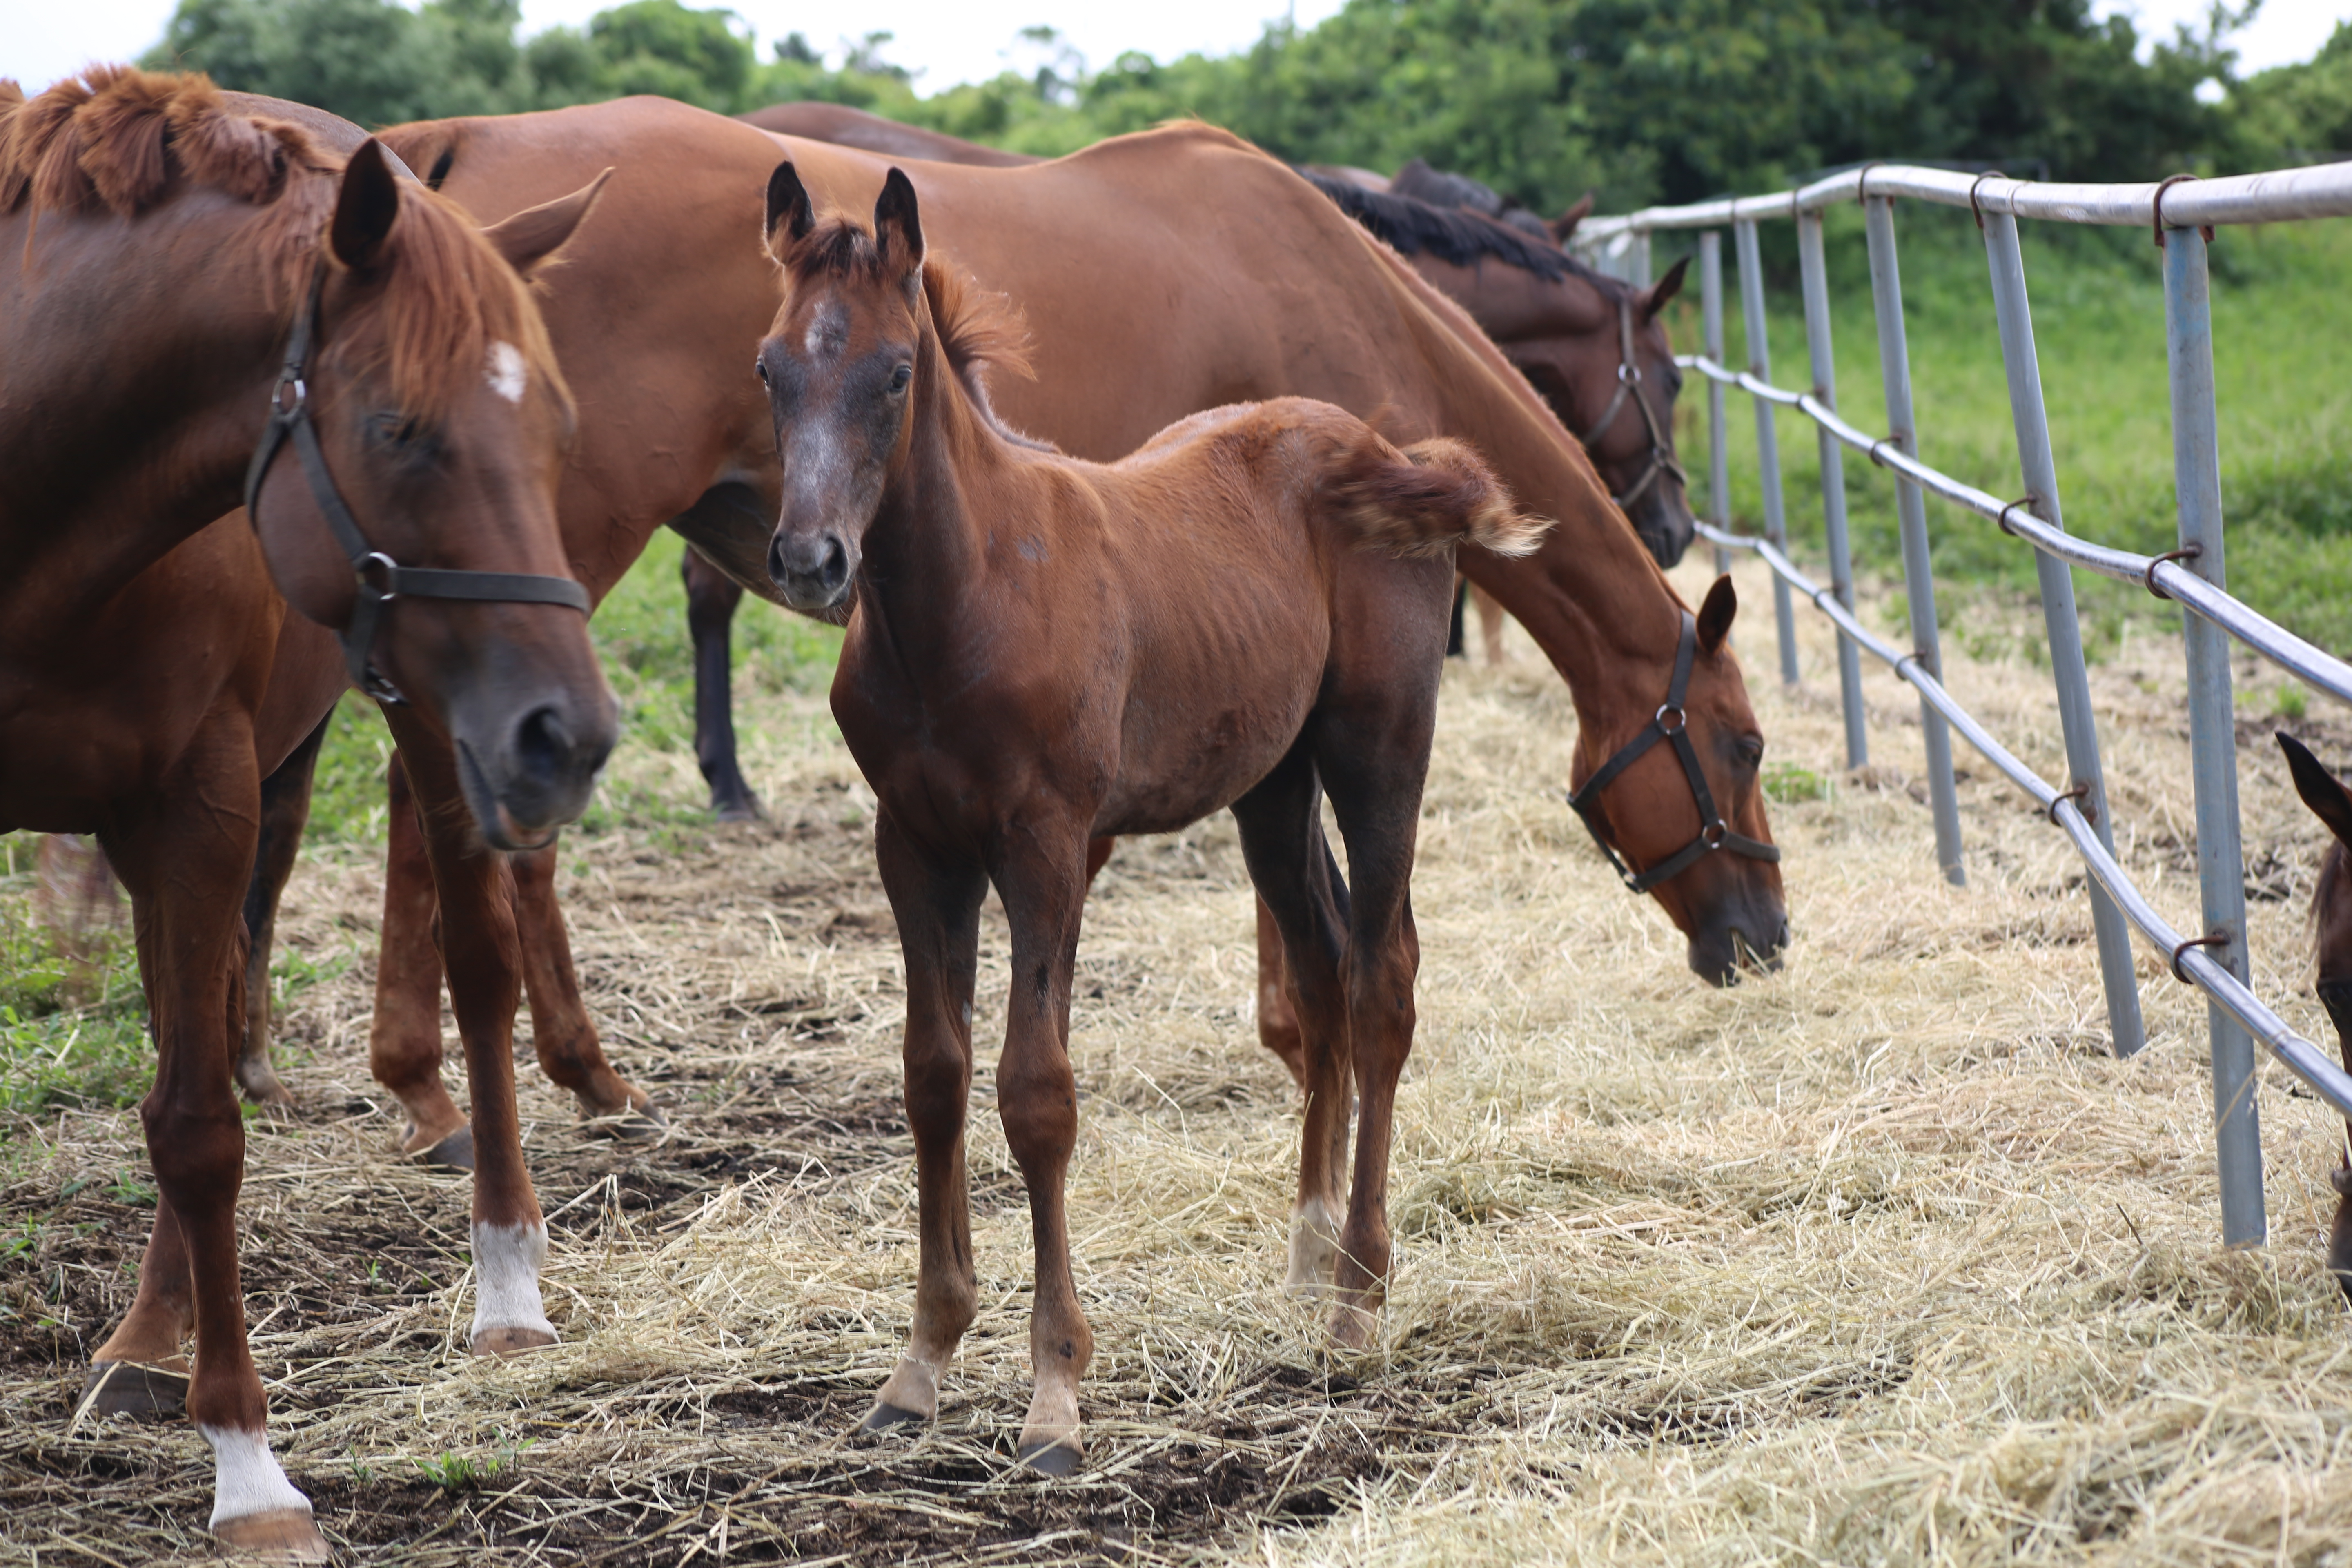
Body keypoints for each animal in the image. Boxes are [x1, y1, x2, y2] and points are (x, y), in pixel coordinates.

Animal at [0, 70, 616, 1561]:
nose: (571, 734)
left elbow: (198, 1127)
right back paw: (145, 1341)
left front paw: (249, 1472)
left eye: (554, 435)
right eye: (398, 429)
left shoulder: (199, 806)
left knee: (474, 971)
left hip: (430, 739)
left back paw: (501, 1281)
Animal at [234, 101, 1778, 1222]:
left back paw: (470, 1081)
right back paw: (507, 1078)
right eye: (1746, 747)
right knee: (461, 809)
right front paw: (1295, 1039)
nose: (1763, 935)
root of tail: (458, 158)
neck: (1343, 282)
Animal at [762, 172, 1552, 1476]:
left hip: (1378, 749)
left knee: (1383, 980)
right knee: (1323, 972)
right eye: (771, 366)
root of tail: (1380, 450)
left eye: (893, 373)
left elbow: (1036, 1091)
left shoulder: (1043, 843)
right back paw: (1304, 1254)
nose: (812, 558)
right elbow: (934, 1073)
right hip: (1271, 785)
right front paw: (919, 1365)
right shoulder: (913, 844)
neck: (967, 592)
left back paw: (1357, 1296)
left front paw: (1054, 1395)